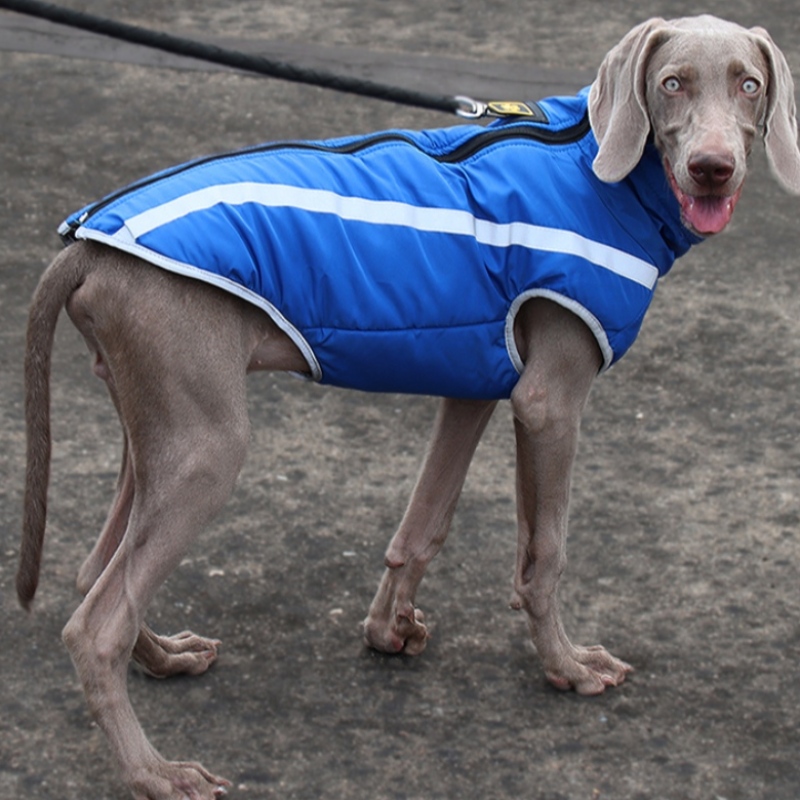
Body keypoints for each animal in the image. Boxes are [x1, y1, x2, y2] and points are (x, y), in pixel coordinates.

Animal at [15, 14, 800, 800]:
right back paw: (154, 772)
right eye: (672, 83)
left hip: (154, 424)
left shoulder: (477, 381)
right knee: (95, 623)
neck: (594, 163)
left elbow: (425, 522)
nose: (712, 168)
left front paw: (389, 630)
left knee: (94, 573)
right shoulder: (549, 399)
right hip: (207, 448)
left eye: (748, 84)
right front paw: (567, 666)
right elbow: (545, 553)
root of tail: (88, 247)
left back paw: (164, 658)